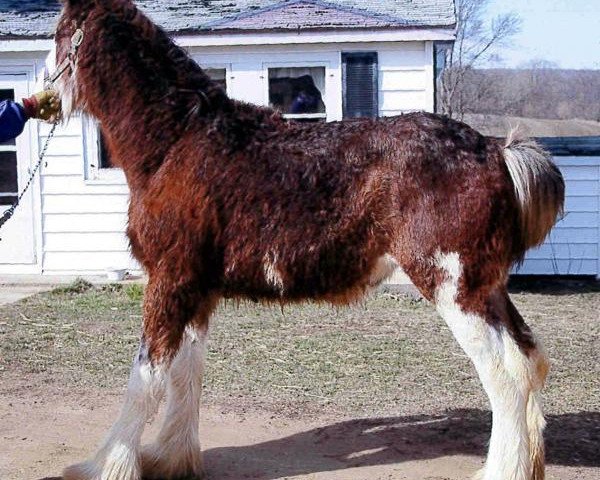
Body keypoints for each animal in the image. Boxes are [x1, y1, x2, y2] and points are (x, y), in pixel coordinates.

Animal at [54, 1, 564, 478]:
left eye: (60, 36)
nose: (44, 98)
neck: (179, 141)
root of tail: (495, 150)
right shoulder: (196, 292)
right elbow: (185, 373)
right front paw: (171, 458)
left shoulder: (169, 282)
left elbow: (146, 376)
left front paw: (106, 465)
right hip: (487, 289)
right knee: (530, 361)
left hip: (454, 289)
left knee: (507, 375)